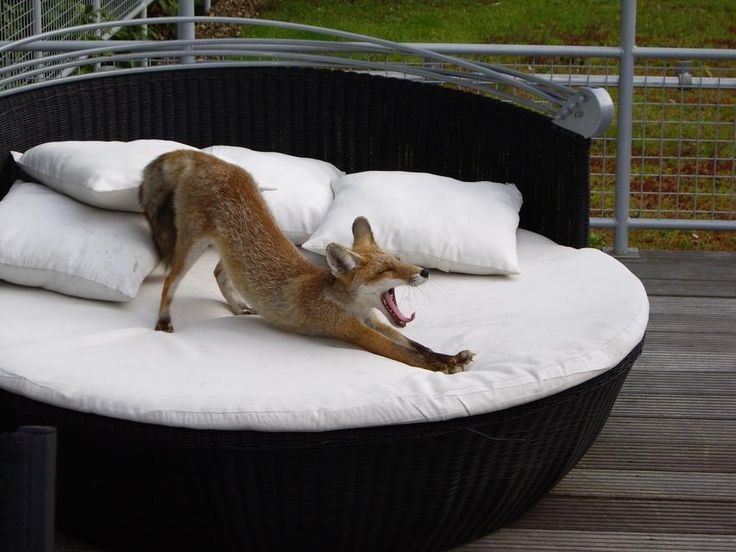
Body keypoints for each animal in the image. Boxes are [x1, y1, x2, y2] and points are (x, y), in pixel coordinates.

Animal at [139, 150, 475, 374]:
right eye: (386, 270)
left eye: (399, 260)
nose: (425, 272)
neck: (348, 304)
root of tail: (207, 158)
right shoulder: (354, 330)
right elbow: (408, 355)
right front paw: (443, 367)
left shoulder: (374, 321)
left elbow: (418, 344)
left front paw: (448, 357)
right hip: (191, 246)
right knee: (170, 281)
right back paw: (163, 320)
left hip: (224, 248)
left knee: (219, 272)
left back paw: (238, 306)